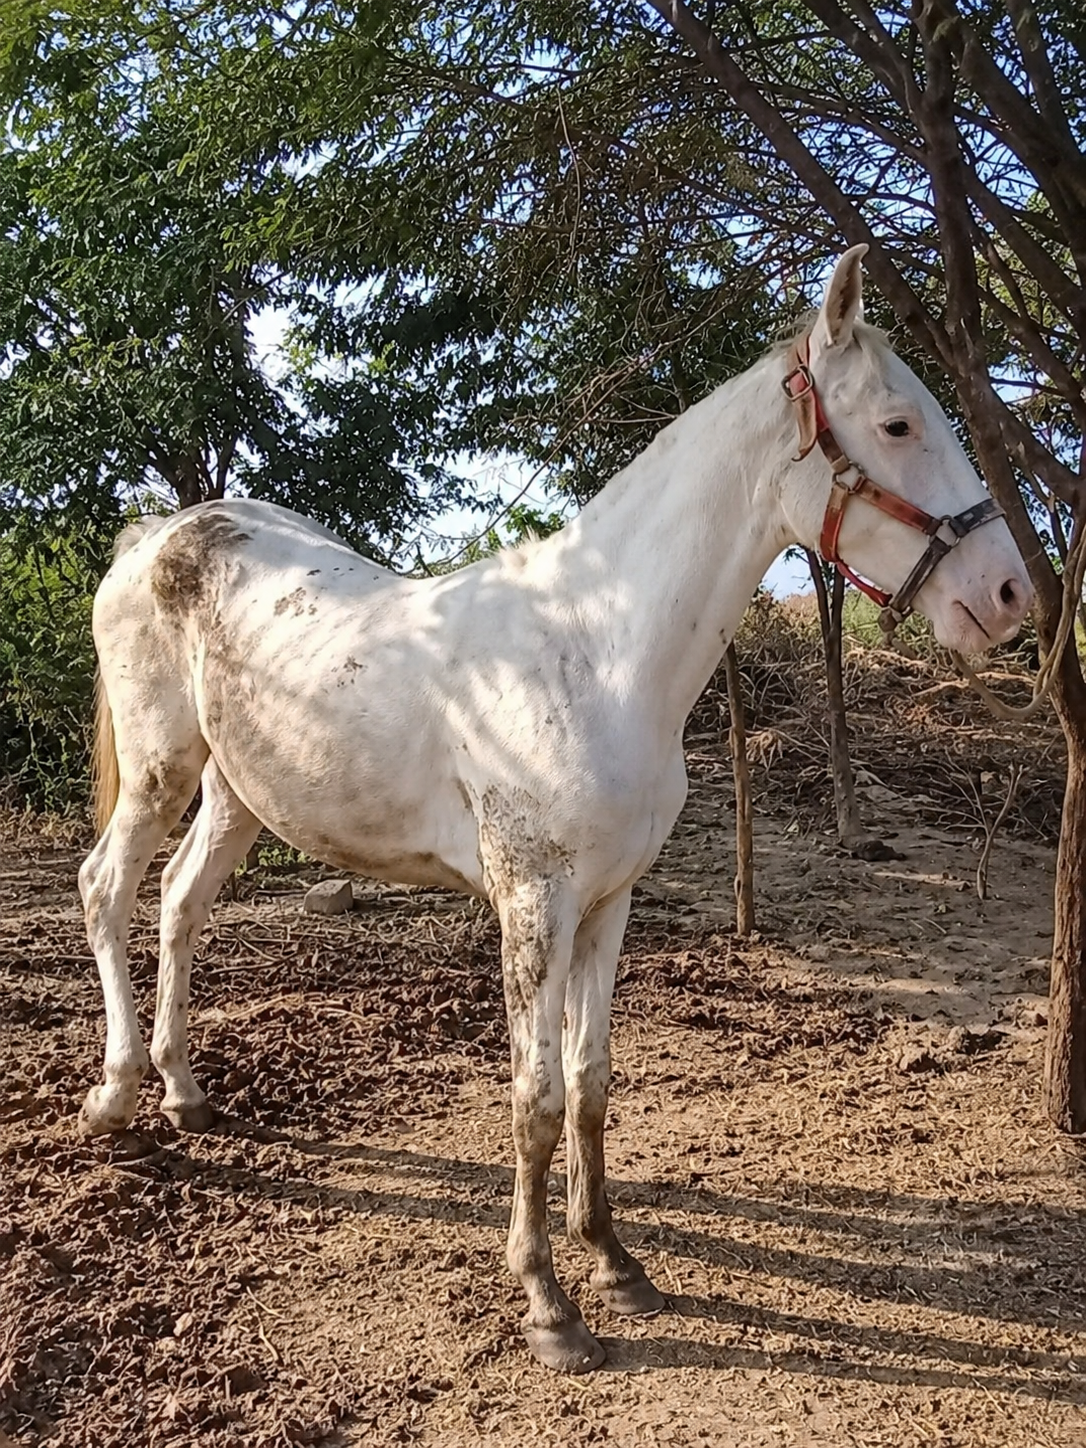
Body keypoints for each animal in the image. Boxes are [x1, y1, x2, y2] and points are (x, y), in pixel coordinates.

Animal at [77, 248, 1031, 1373]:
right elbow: (532, 1100)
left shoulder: (609, 903)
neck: (596, 649)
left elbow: (589, 1080)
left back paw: (185, 1092)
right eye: (896, 423)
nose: (1010, 594)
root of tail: (157, 533)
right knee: (107, 888)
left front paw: (614, 1260)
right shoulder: (534, 903)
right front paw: (546, 1301)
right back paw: (117, 1095)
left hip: (236, 792)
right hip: (162, 769)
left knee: (180, 904)